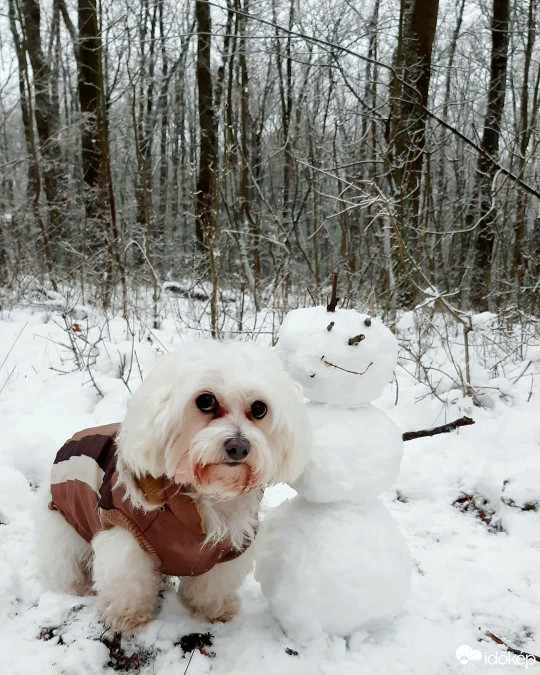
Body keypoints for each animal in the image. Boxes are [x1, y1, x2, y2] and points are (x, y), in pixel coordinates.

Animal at [35, 344, 310, 632]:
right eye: (205, 401)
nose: (239, 447)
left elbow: (213, 584)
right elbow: (127, 580)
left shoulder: (226, 549)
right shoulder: (126, 533)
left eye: (259, 408)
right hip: (63, 526)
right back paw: (74, 588)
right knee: (63, 563)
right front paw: (127, 617)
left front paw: (214, 610)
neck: (201, 497)